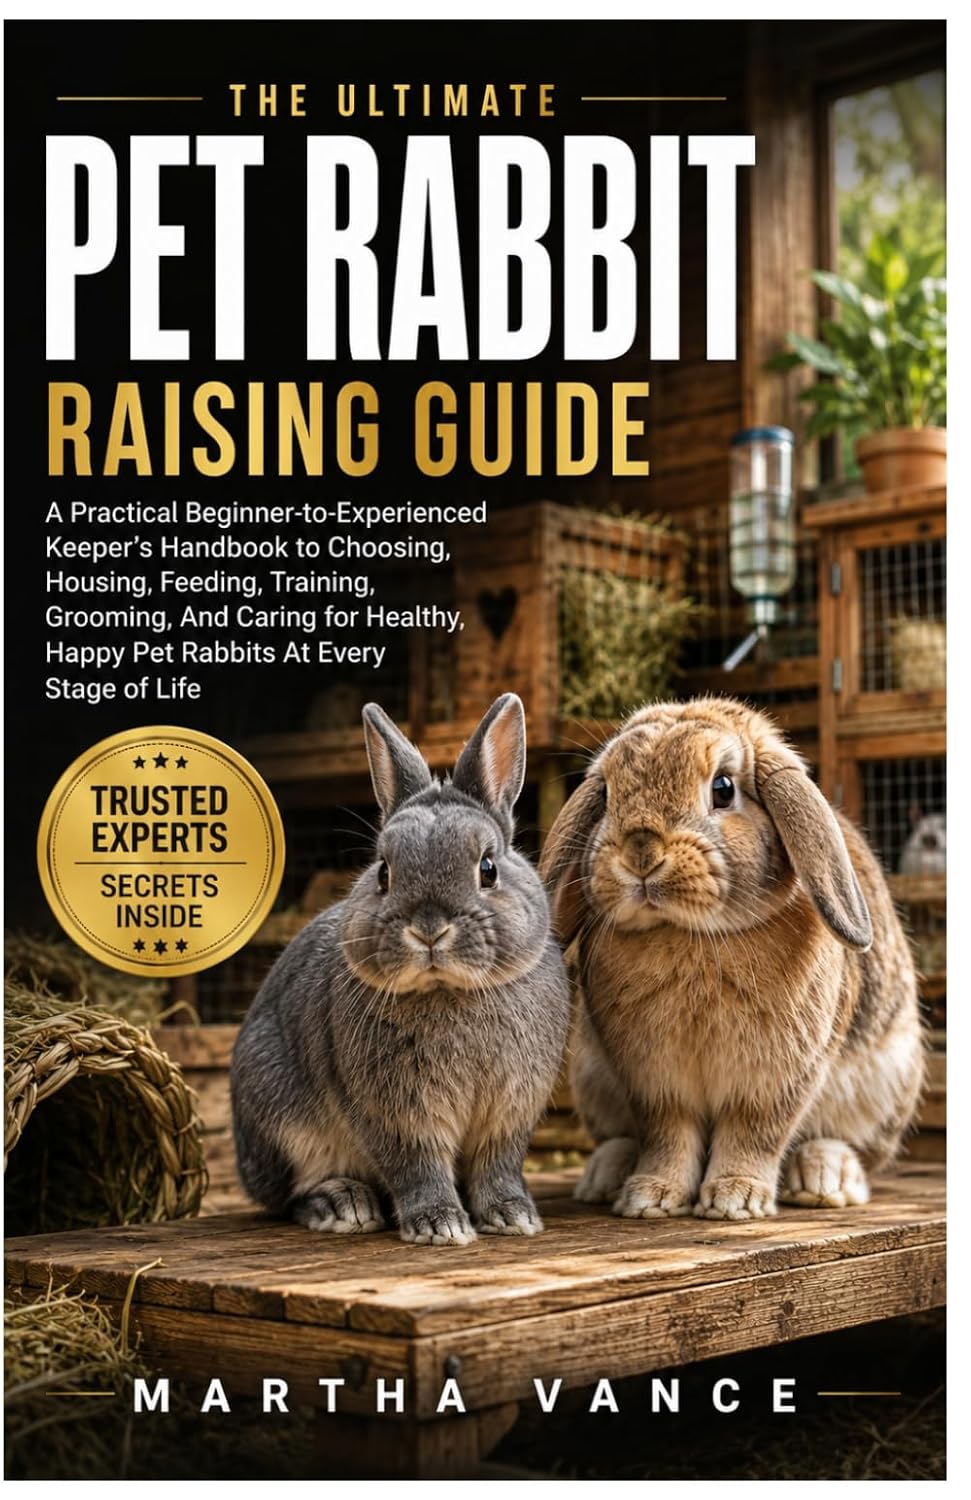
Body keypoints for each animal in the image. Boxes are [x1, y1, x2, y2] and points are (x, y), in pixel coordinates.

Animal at [231, 693, 570, 1245]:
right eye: (383, 873)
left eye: (488, 868)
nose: (429, 929)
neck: (449, 991)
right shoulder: (396, 1117)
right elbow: (417, 1166)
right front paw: (440, 1226)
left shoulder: (509, 1115)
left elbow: (497, 1167)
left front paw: (514, 1217)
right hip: (279, 1115)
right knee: (287, 1195)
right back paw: (342, 1204)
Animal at [539, 696, 924, 1222]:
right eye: (609, 793)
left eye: (723, 789)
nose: (641, 852)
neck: (692, 935)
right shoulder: (654, 1083)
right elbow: (667, 1134)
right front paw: (651, 1197)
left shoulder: (776, 1081)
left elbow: (754, 1133)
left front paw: (735, 1199)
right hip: (591, 1079)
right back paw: (606, 1175)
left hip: (885, 1086)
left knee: (850, 1146)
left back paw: (825, 1179)